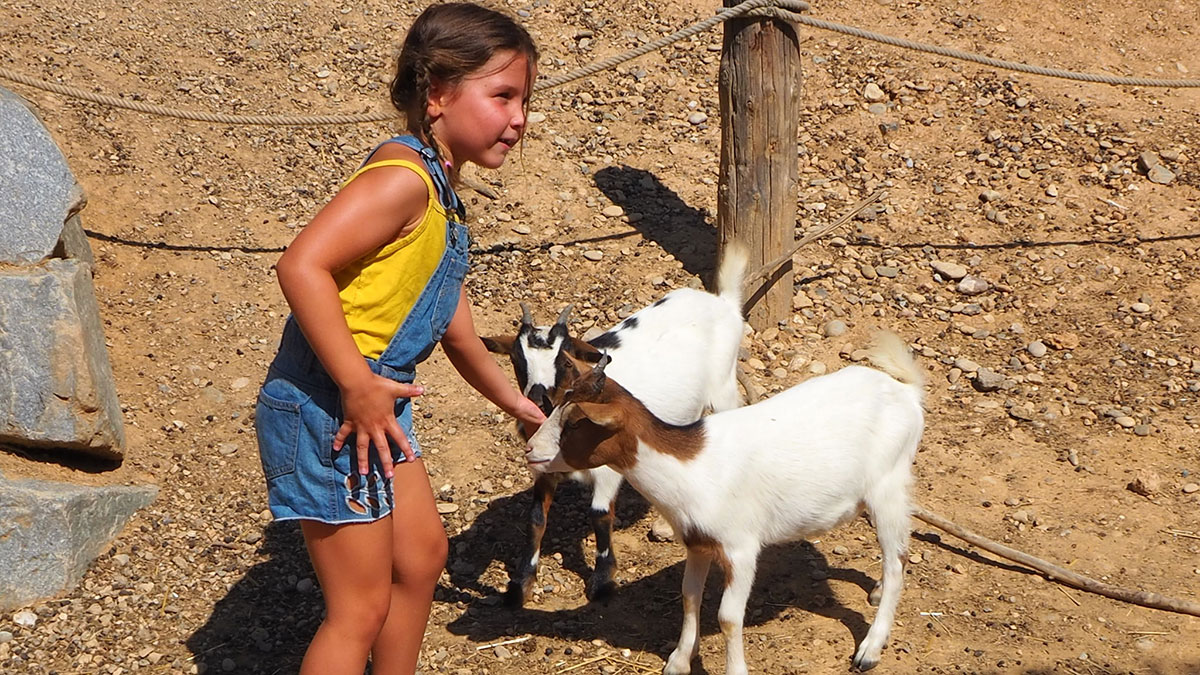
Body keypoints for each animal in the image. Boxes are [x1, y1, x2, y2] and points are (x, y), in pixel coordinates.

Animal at [482, 246, 747, 606]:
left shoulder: (607, 467)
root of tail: (722, 302)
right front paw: (521, 584)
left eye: (564, 360)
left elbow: (599, 513)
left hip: (723, 389)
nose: (538, 401)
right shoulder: (544, 467)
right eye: (515, 360)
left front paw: (603, 580)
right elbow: (536, 518)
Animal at [525, 331, 925, 673]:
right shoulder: (698, 543)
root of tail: (907, 393)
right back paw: (874, 592)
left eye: (575, 424)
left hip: (889, 486)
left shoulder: (740, 548)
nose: (530, 449)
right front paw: (679, 660)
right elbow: (689, 595)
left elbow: (729, 618)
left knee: (896, 561)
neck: (690, 466)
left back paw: (870, 649)